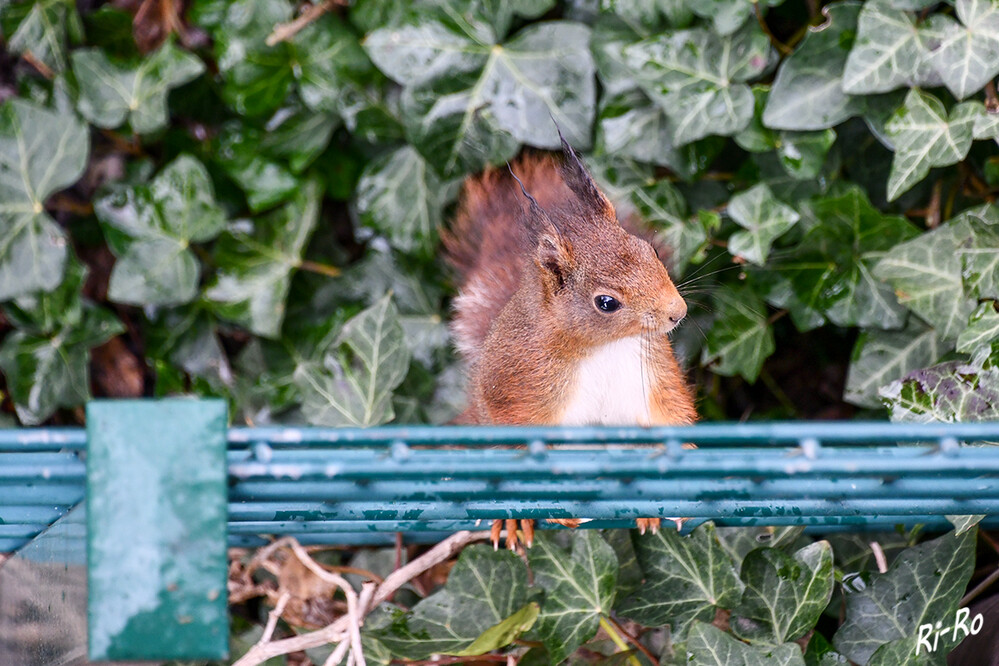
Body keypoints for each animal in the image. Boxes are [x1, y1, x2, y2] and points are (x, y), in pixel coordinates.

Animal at [446, 137, 696, 548]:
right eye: (606, 303)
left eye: (652, 251)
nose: (678, 312)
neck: (602, 348)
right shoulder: (518, 392)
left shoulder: (652, 374)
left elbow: (670, 413)